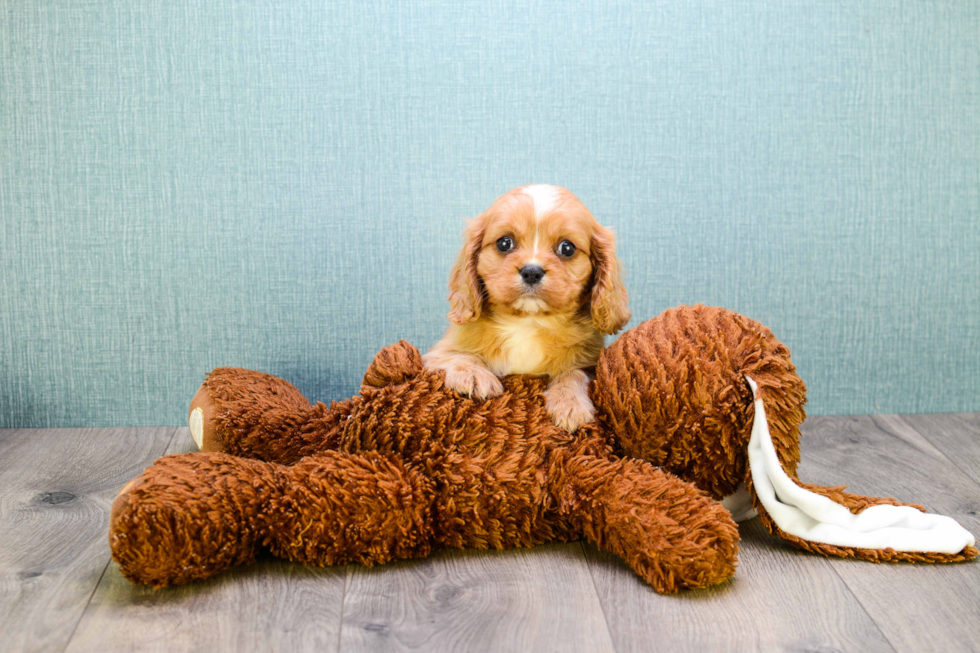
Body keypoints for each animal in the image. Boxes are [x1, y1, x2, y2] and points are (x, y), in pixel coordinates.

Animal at [424, 183, 632, 430]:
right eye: (504, 243)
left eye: (567, 248)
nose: (532, 271)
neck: (528, 321)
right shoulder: (435, 354)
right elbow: (459, 356)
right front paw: (474, 376)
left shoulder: (589, 364)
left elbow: (573, 373)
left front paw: (570, 403)